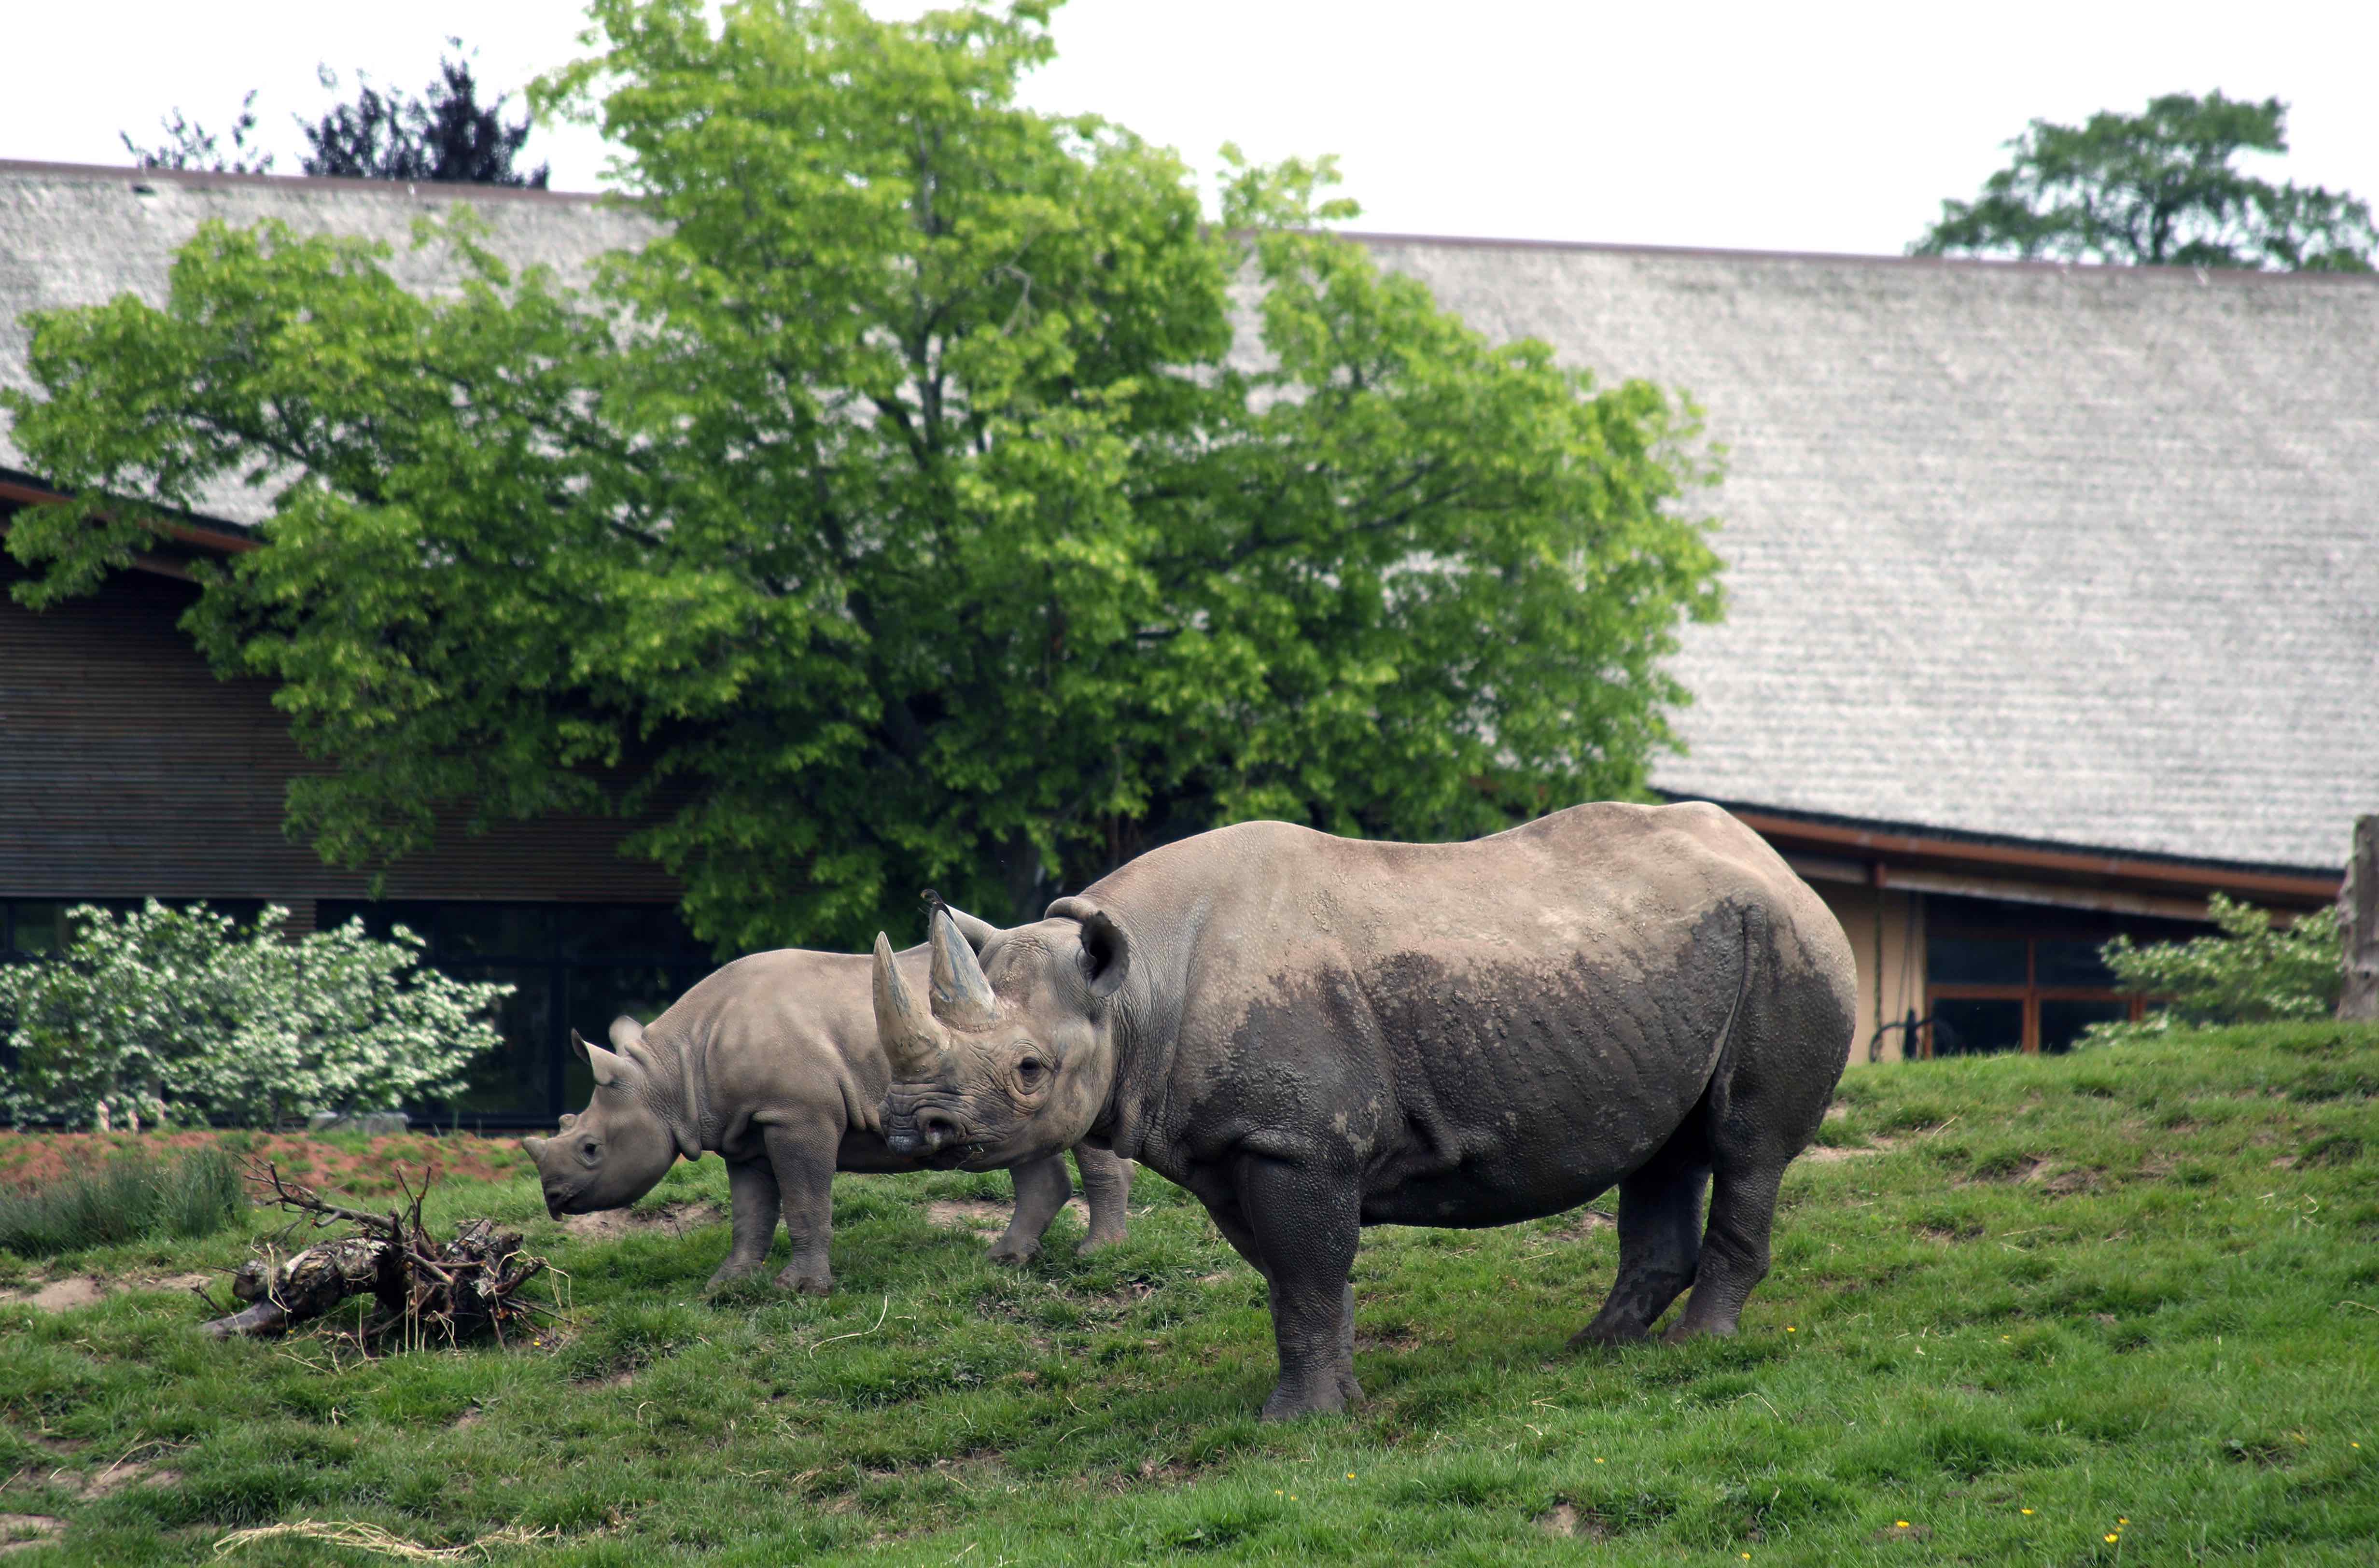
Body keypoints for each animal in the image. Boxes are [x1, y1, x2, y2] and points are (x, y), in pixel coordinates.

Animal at [521, 915, 1131, 1294]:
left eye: (590, 1147)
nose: (553, 1198)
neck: (671, 1072)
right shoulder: (744, 1128)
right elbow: (750, 1211)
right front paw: (727, 1283)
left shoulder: (797, 1113)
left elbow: (804, 1198)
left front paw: (802, 1289)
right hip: (996, 1085)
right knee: (1021, 1140)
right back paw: (1007, 1257)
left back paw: (1097, 1255)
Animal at [870, 801, 1856, 1417]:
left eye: (1030, 1069)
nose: (915, 1126)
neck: (1134, 986)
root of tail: (1780, 862)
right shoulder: (1239, 1145)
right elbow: (1302, 1278)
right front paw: (1340, 1402)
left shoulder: (1294, 1142)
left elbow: (1306, 1275)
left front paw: (1292, 1426)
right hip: (1682, 954)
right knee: (1664, 1149)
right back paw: (1593, 1351)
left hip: (1786, 941)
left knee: (1746, 1145)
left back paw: (1696, 1347)